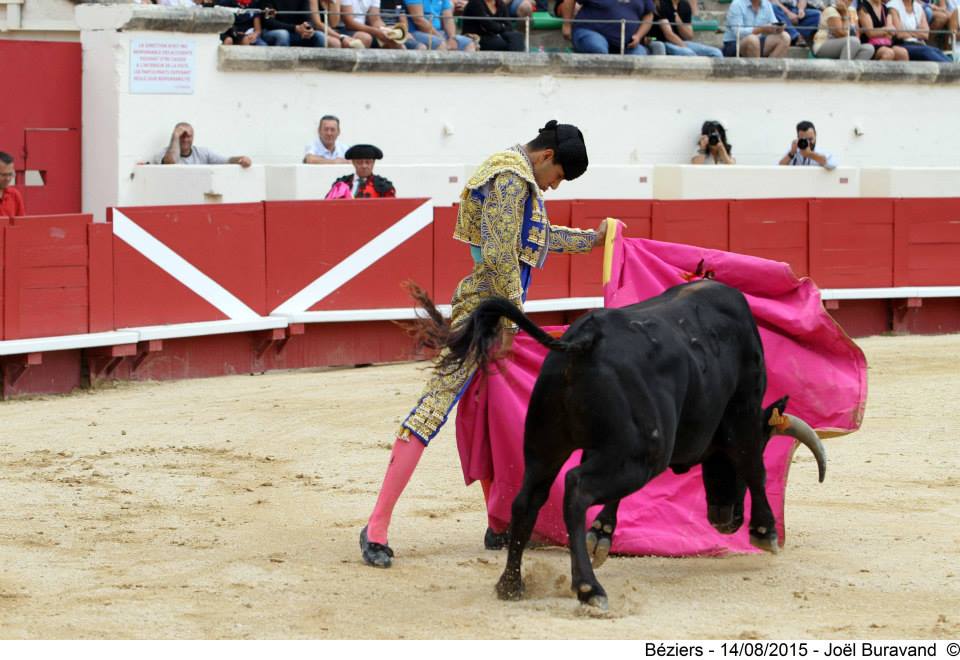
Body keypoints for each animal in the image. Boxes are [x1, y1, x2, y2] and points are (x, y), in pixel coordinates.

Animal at [416, 278, 828, 608]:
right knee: (576, 489)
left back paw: (511, 585)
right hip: (641, 455)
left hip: (547, 448)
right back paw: (588, 588)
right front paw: (765, 532)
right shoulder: (743, 411)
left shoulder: (608, 448)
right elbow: (754, 467)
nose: (727, 521)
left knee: (527, 500)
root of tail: (584, 341)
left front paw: (601, 535)